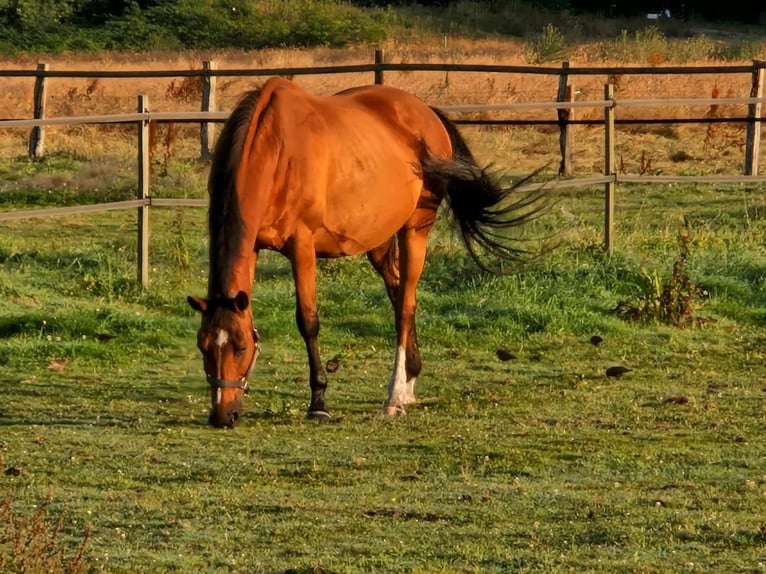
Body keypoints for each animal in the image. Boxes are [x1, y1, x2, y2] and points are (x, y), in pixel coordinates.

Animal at [187, 77, 543, 428]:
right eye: (202, 346)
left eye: (241, 346)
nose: (223, 415)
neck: (276, 150)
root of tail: (426, 112)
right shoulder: (254, 246)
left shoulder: (301, 247)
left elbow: (308, 321)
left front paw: (319, 403)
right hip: (379, 237)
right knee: (398, 293)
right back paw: (410, 380)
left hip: (415, 229)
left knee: (406, 305)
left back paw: (395, 396)